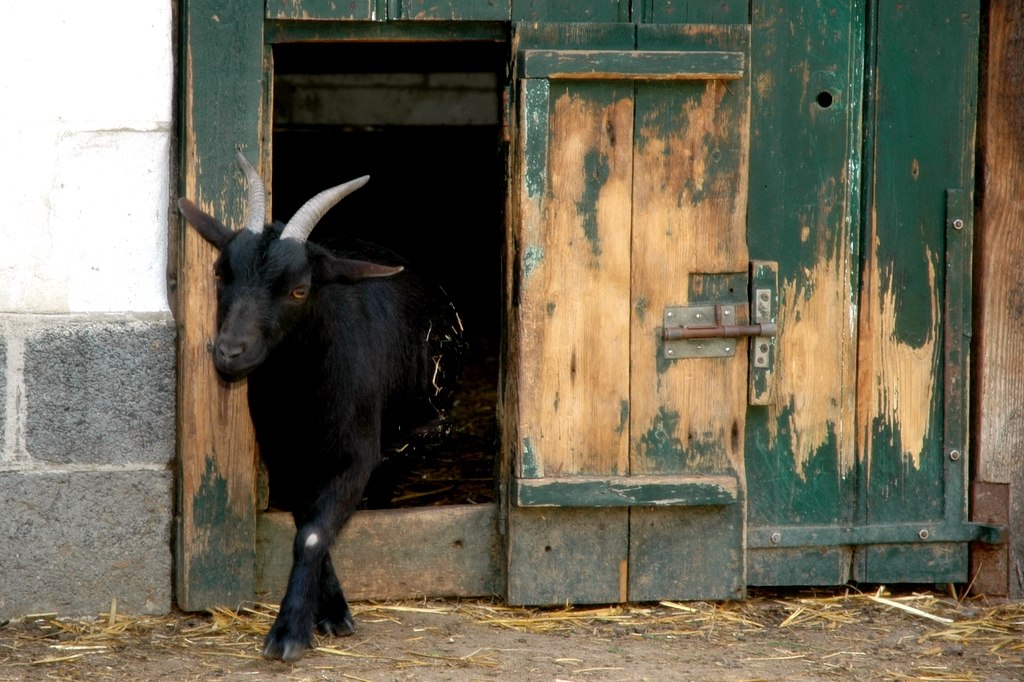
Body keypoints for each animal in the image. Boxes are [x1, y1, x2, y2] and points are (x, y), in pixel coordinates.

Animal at [179, 152, 460, 659]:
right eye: (219, 273)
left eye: (299, 289)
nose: (229, 352)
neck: (302, 397)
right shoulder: (285, 456)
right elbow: (306, 523)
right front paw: (330, 612)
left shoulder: (356, 455)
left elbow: (312, 534)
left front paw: (289, 632)